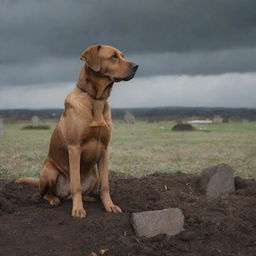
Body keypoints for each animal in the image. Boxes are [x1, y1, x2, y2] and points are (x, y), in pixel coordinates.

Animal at [16, 45, 138, 217]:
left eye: (122, 55)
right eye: (113, 56)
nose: (136, 66)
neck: (95, 100)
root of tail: (63, 193)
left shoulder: (105, 149)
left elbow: (105, 185)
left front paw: (109, 206)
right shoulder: (74, 148)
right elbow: (76, 185)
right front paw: (78, 209)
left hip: (94, 175)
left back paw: (90, 198)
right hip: (49, 171)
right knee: (44, 193)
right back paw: (53, 199)